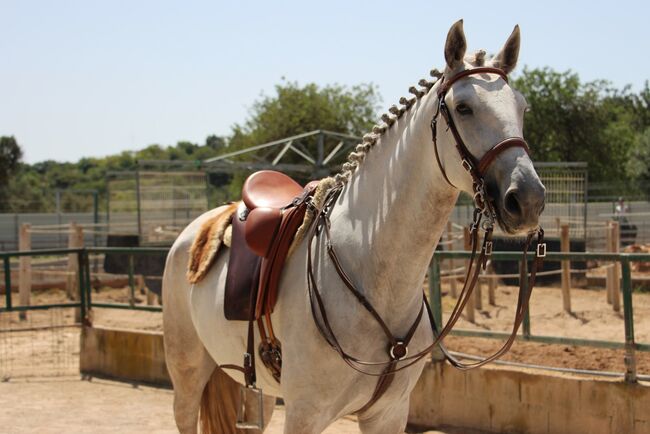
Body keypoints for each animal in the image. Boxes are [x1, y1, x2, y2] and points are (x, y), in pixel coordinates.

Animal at [162, 19, 546, 434]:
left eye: (522, 108)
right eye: (463, 107)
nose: (528, 199)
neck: (371, 275)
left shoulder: (389, 414)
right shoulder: (304, 414)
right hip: (187, 374)